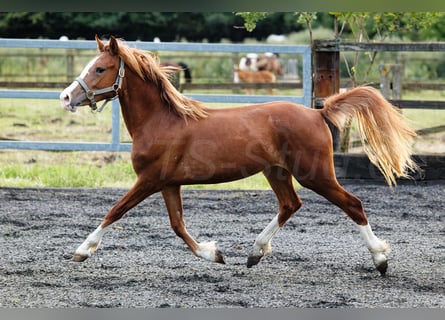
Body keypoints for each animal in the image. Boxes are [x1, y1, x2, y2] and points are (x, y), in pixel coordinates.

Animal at [59, 35, 416, 276]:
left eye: (100, 68)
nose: (65, 97)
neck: (161, 121)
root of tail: (318, 113)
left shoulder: (149, 180)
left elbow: (114, 212)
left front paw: (81, 251)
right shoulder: (169, 183)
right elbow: (178, 225)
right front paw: (214, 253)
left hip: (315, 174)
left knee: (352, 205)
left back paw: (380, 260)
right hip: (277, 172)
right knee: (290, 205)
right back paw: (255, 252)